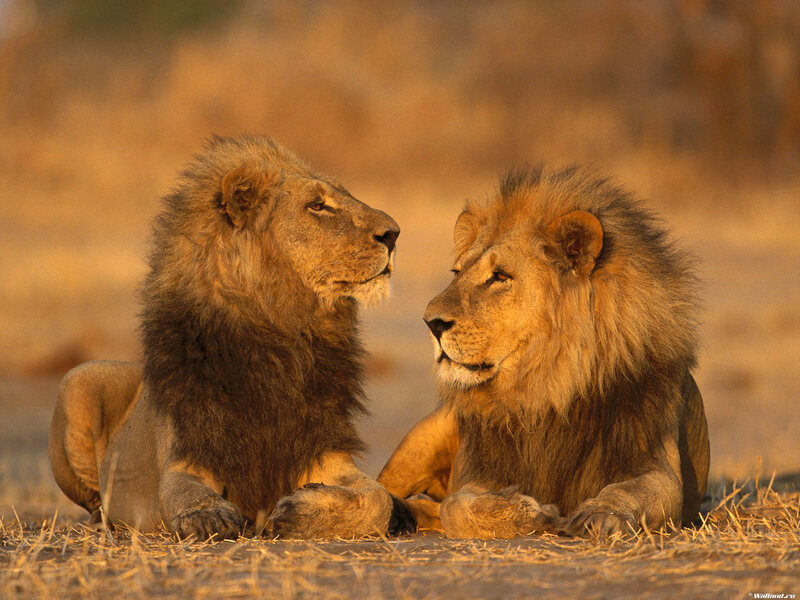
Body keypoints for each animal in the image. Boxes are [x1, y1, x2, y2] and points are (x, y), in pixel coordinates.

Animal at [49, 135, 403, 540]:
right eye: (317, 206)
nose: (394, 234)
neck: (281, 336)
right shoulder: (186, 457)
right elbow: (184, 494)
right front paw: (209, 516)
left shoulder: (327, 453)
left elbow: (379, 499)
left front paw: (298, 510)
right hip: (79, 377)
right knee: (94, 500)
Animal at [378, 166, 710, 538]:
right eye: (457, 272)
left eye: (499, 276)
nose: (431, 323)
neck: (545, 388)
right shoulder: (478, 473)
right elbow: (456, 506)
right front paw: (530, 513)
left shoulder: (656, 466)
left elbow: (627, 493)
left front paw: (600, 514)